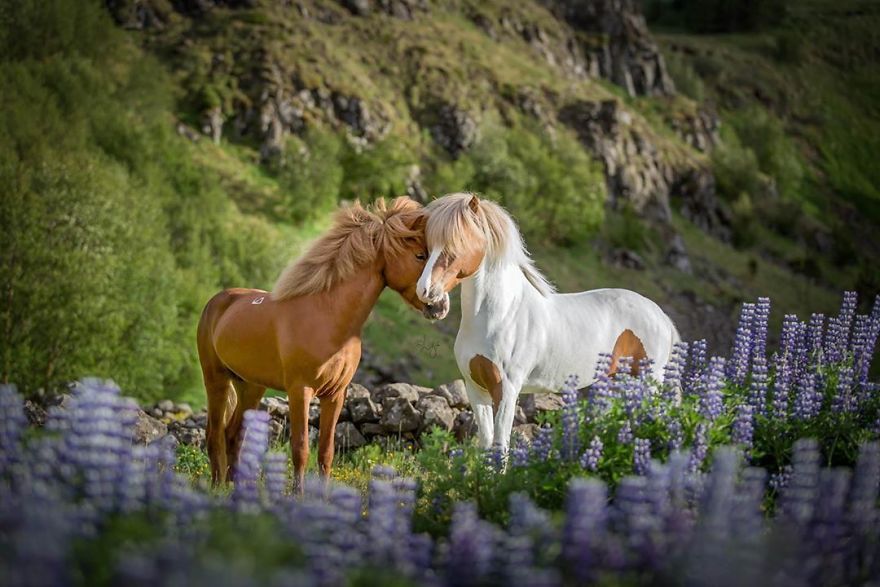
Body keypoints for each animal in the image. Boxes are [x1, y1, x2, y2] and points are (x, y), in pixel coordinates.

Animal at [197, 196, 449, 488]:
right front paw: (298, 495)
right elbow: (301, 449)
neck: (328, 318)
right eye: (420, 255)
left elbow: (326, 452)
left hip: (250, 386)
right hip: (216, 379)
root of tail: (217, 301)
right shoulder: (300, 391)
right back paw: (216, 489)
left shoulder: (335, 395)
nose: (440, 306)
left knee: (232, 435)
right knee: (214, 435)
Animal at [415, 192, 680, 451]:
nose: (425, 292)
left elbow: (501, 447)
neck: (501, 316)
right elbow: (487, 445)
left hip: (650, 382)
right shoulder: (476, 389)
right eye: (427, 247)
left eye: (457, 243)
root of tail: (661, 317)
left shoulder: (507, 390)